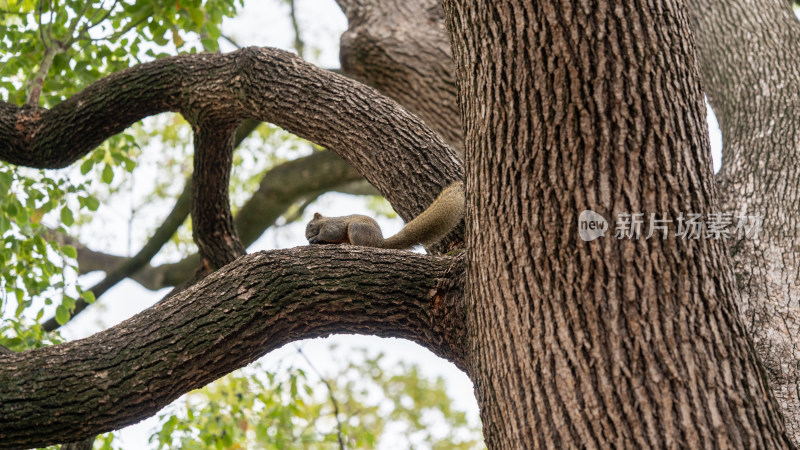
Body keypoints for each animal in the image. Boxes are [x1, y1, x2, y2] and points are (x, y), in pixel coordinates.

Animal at [306, 181, 466, 250]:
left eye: (311, 224)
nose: (307, 237)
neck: (324, 221)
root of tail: (379, 242)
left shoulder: (333, 225)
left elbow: (331, 233)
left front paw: (316, 238)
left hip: (356, 228)